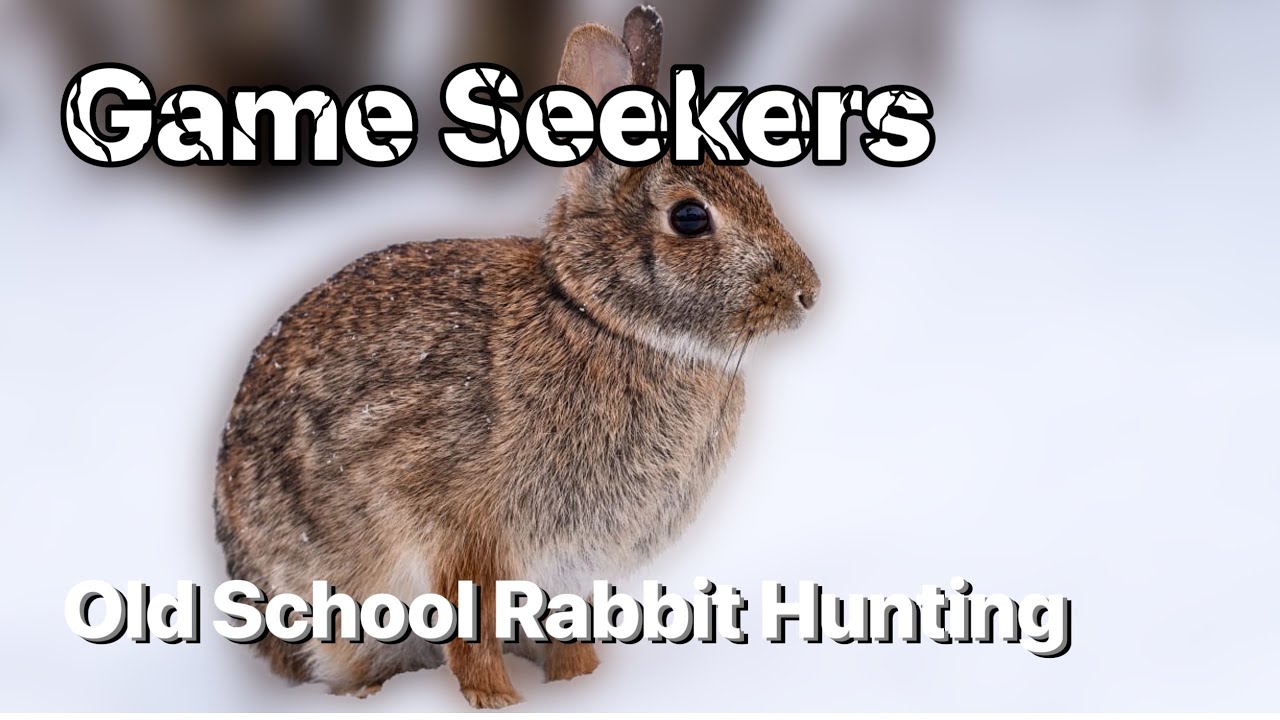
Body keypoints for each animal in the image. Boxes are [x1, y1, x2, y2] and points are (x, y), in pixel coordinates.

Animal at [214, 5, 820, 709]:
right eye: (691, 218)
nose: (808, 292)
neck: (600, 317)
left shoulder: (574, 571)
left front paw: (581, 687)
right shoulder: (464, 534)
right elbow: (470, 632)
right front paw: (499, 702)